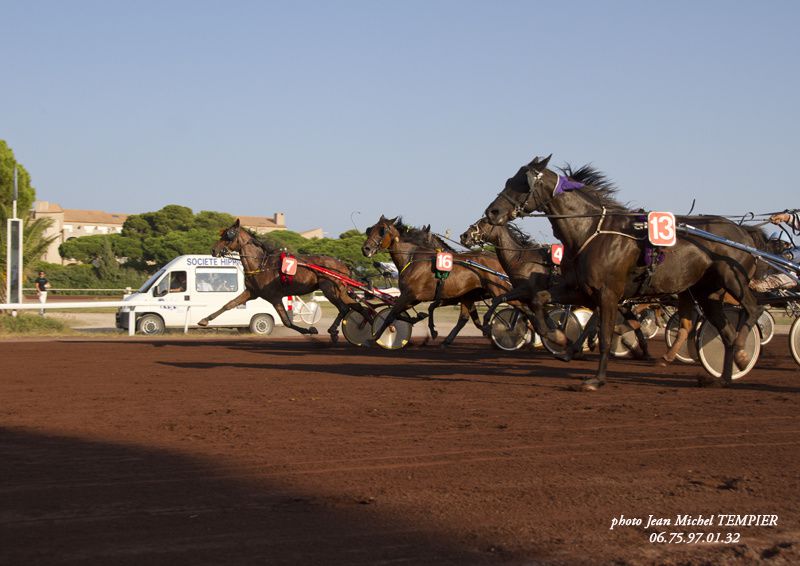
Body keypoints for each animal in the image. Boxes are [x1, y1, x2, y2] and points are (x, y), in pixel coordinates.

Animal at [198, 219, 368, 342]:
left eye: (229, 235)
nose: (214, 250)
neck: (262, 264)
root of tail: (344, 266)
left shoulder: (274, 297)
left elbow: (286, 321)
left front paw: (310, 330)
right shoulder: (252, 292)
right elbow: (229, 304)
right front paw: (204, 320)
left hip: (330, 289)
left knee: (344, 308)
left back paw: (333, 331)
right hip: (341, 291)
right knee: (360, 307)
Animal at [362, 217, 512, 348]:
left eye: (382, 230)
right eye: (370, 229)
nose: (366, 249)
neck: (412, 259)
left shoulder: (412, 295)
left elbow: (392, 314)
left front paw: (374, 338)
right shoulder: (417, 298)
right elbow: (403, 312)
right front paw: (420, 320)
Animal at [482, 158, 764, 392]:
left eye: (522, 182)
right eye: (509, 180)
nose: (492, 212)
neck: (590, 232)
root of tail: (744, 232)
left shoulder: (608, 294)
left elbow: (606, 336)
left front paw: (597, 379)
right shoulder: (578, 289)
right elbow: (538, 299)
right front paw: (558, 337)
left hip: (732, 280)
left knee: (753, 310)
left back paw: (742, 353)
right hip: (707, 292)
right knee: (726, 333)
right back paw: (724, 377)